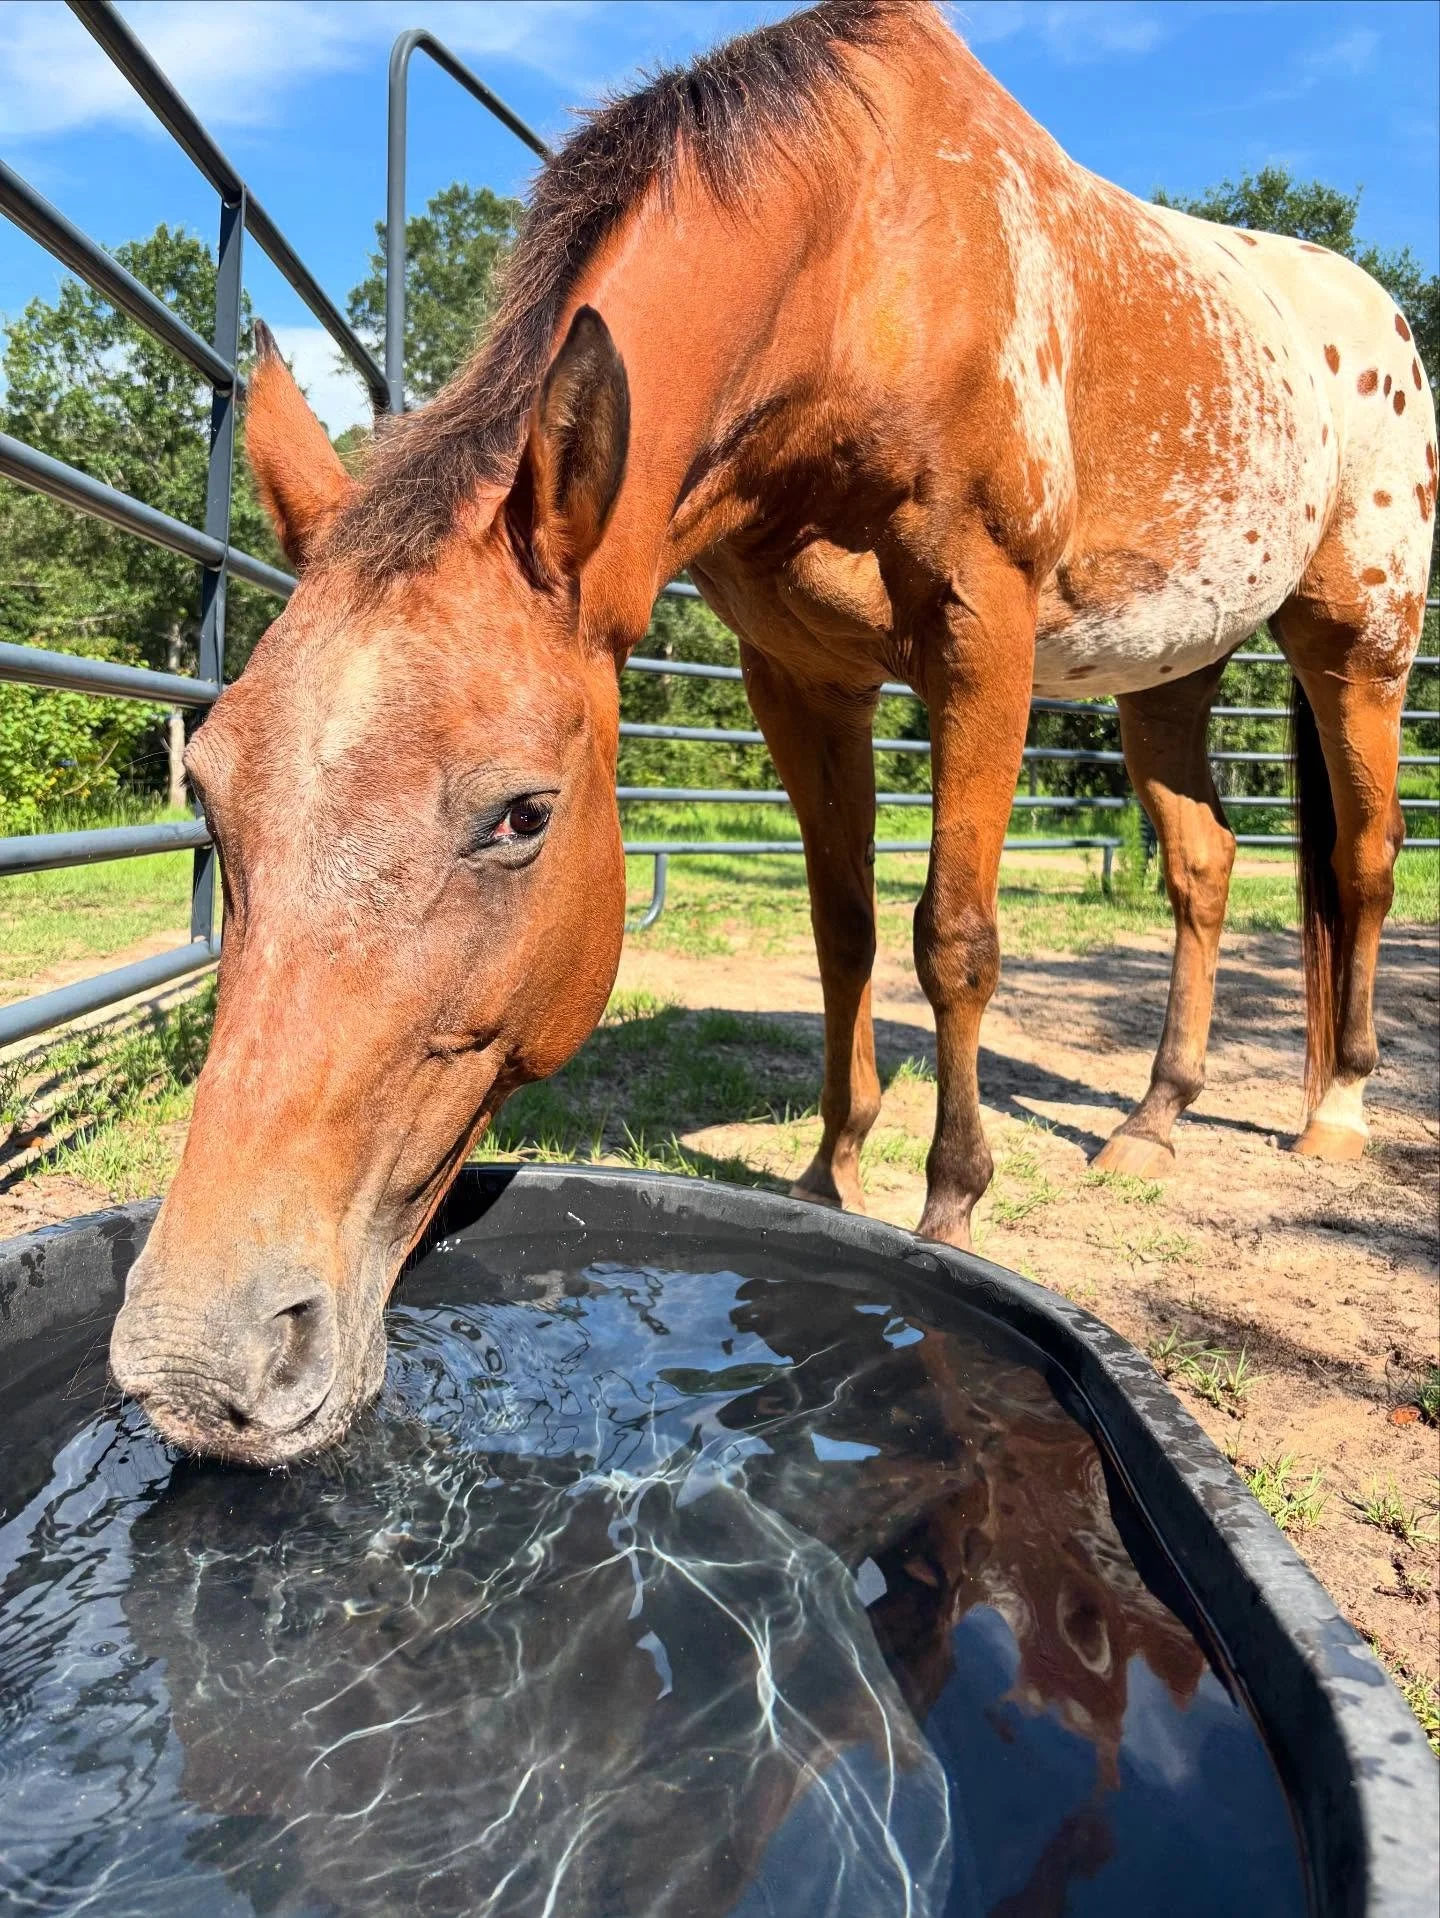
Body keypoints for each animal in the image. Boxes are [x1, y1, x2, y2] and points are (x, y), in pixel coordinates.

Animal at [110, 0, 1437, 1464]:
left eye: (521, 814)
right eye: (211, 788)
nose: (200, 1360)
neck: (867, 263)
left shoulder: (980, 627)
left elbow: (952, 935)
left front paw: (950, 1198)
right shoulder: (797, 673)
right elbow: (843, 927)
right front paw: (829, 1170)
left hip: (1357, 645)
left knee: (1364, 862)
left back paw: (1335, 1109)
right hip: (1174, 670)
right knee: (1203, 868)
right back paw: (1151, 1121)